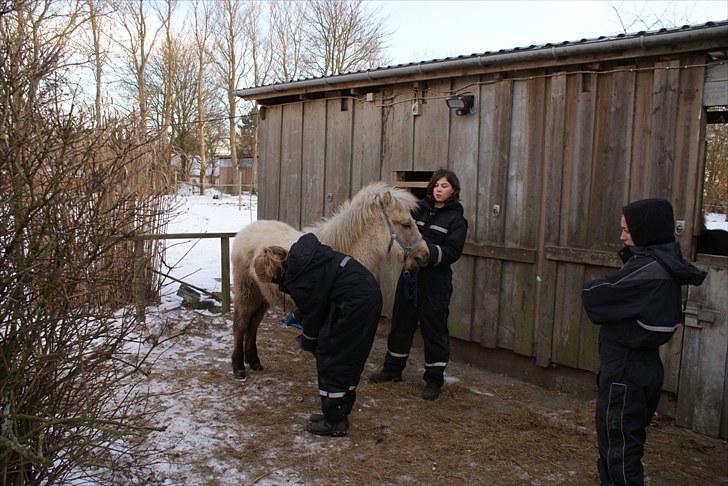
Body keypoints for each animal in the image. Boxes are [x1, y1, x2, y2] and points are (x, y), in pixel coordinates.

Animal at [230, 182, 430, 380]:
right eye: (406, 224)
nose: (425, 255)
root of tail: (244, 232)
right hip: (246, 292)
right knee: (241, 325)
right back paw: (239, 367)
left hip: (261, 296)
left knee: (253, 325)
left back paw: (254, 361)